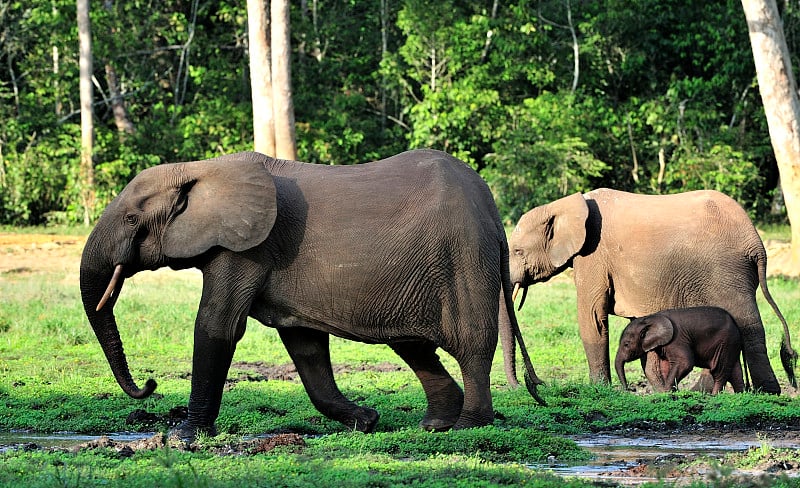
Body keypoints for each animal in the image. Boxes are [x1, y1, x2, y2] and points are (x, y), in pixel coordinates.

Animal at [79, 150, 544, 442]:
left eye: (132, 219)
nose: (149, 385)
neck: (202, 168)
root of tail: (492, 210)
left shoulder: (247, 248)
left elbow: (217, 326)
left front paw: (184, 436)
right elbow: (304, 344)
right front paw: (365, 421)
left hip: (464, 257)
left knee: (471, 344)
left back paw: (468, 427)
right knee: (412, 345)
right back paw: (434, 425)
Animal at [616, 306, 748, 394]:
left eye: (626, 344)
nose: (628, 390)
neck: (649, 318)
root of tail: (734, 322)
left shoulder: (677, 340)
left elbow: (685, 363)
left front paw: (666, 393)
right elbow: (665, 366)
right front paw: (671, 393)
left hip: (725, 342)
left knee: (719, 371)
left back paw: (714, 396)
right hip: (731, 344)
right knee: (734, 371)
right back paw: (740, 395)